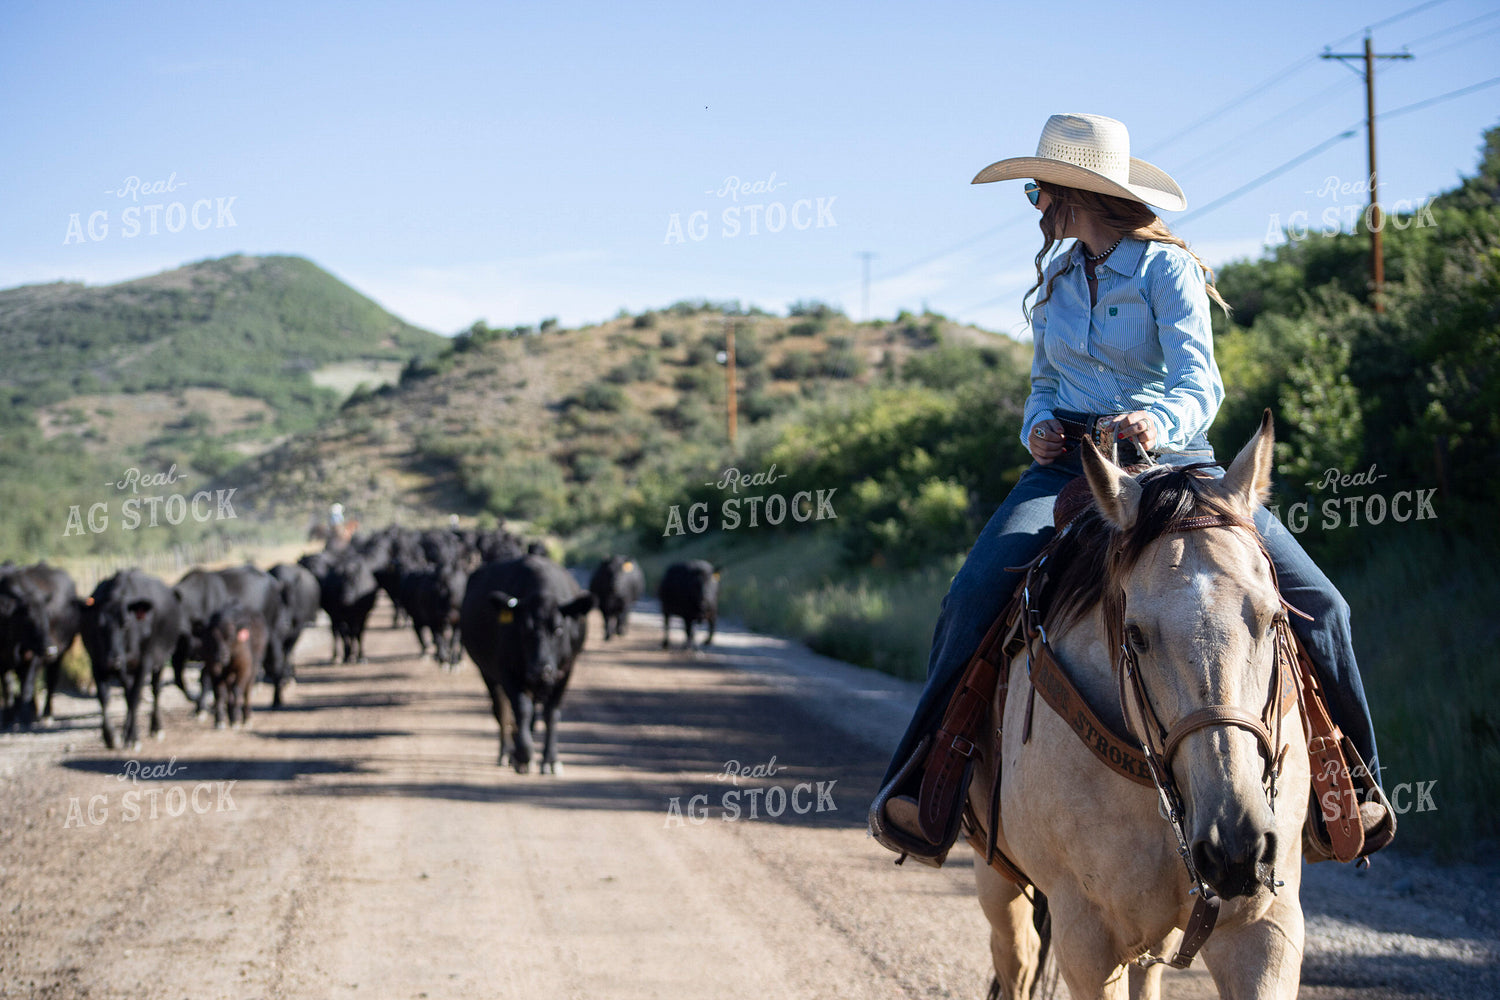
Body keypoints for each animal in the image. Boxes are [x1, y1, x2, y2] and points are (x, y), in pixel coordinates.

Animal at [79, 570, 183, 749]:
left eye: (126, 623)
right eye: (99, 624)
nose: (113, 659)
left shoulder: (144, 662)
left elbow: (135, 698)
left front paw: (132, 737)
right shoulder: (97, 663)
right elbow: (104, 697)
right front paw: (110, 736)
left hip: (160, 661)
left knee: (154, 690)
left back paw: (155, 727)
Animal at [460, 555, 594, 774]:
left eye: (558, 629)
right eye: (523, 628)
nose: (541, 669)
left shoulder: (565, 672)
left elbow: (550, 714)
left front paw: (550, 760)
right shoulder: (508, 673)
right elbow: (521, 710)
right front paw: (523, 755)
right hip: (488, 674)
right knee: (502, 712)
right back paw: (507, 753)